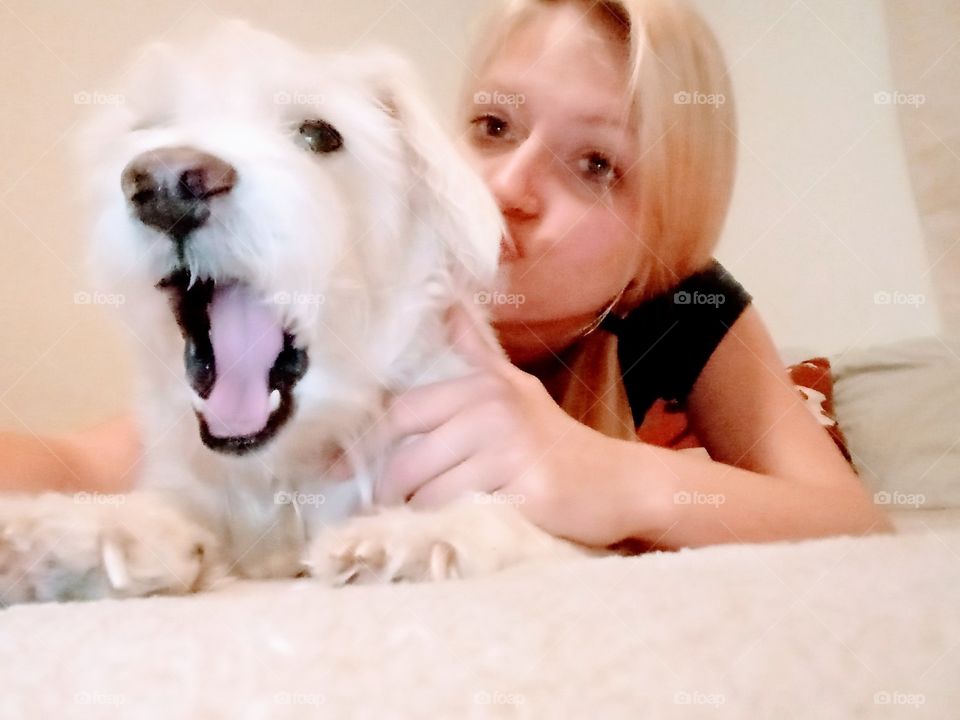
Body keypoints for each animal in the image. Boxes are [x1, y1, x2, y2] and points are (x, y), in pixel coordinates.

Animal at [0, 23, 588, 600]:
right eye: (148, 129)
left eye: (320, 134)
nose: (165, 184)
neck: (288, 468)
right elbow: (156, 514)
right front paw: (59, 534)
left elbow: (502, 521)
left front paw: (408, 536)